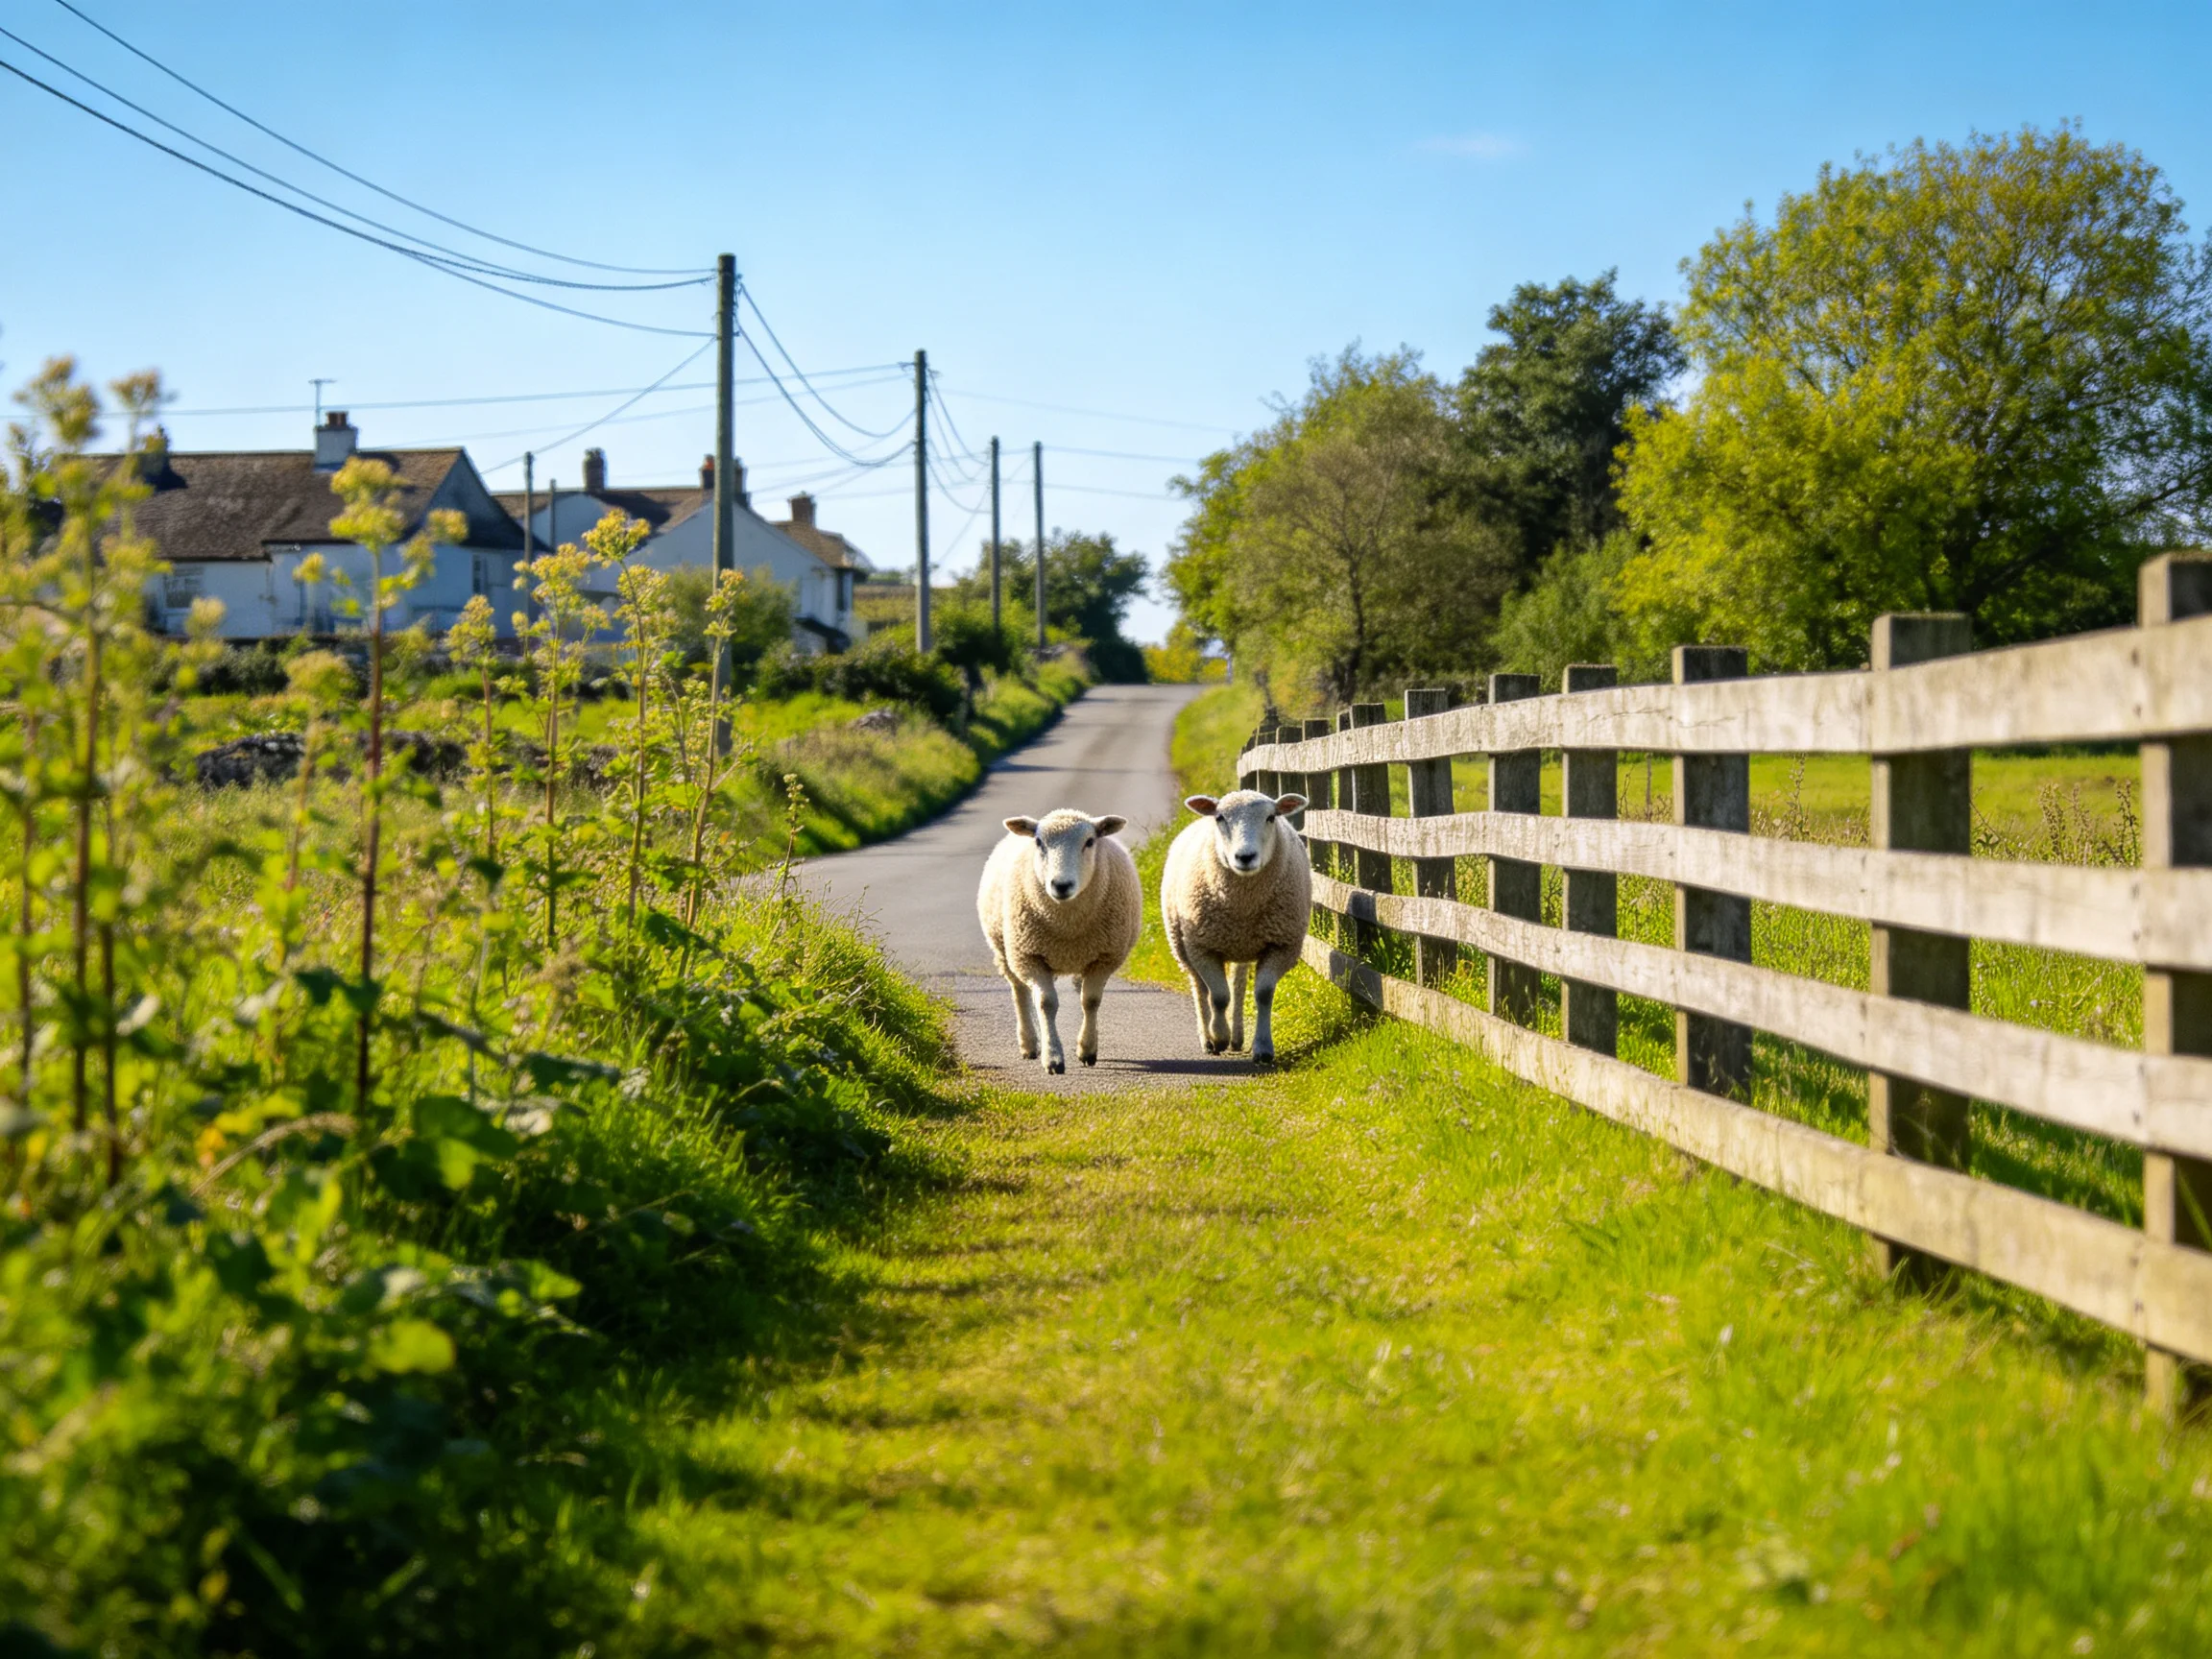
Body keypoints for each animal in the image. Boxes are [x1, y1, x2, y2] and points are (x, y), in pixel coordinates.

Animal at [977, 809, 1142, 1074]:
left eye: (1090, 841)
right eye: (1038, 842)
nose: (1061, 885)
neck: (1067, 925)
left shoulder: (1104, 958)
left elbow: (1091, 1001)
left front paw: (1087, 1050)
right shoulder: (1030, 957)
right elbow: (1046, 1004)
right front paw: (1052, 1058)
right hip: (1006, 951)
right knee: (1019, 992)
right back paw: (1029, 1044)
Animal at [1160, 789, 1311, 1065]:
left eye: (1271, 817)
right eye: (1220, 818)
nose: (1245, 857)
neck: (1243, 903)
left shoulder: (1282, 945)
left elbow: (1263, 994)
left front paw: (1263, 1048)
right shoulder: (1202, 947)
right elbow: (1219, 996)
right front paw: (1219, 1036)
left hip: (1243, 946)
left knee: (1239, 986)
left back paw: (1238, 1037)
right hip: (1182, 943)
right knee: (1200, 987)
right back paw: (1208, 1038)